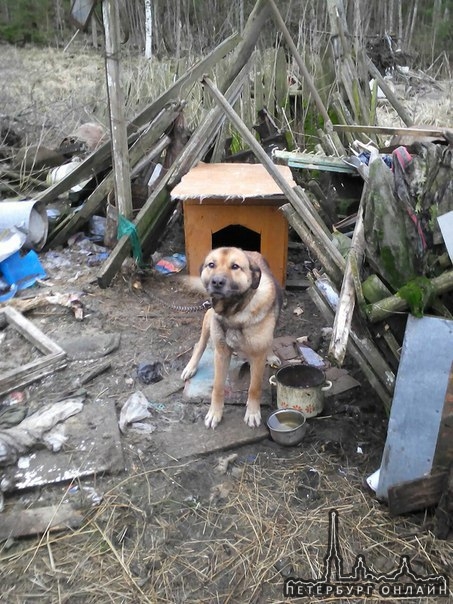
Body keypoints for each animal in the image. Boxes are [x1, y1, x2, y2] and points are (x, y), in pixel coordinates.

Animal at [181, 247, 280, 430]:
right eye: (211, 265)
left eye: (235, 266)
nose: (217, 282)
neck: (234, 313)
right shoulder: (221, 354)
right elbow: (218, 387)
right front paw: (215, 413)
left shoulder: (257, 357)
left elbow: (254, 387)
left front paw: (253, 412)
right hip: (208, 317)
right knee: (200, 344)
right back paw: (191, 367)